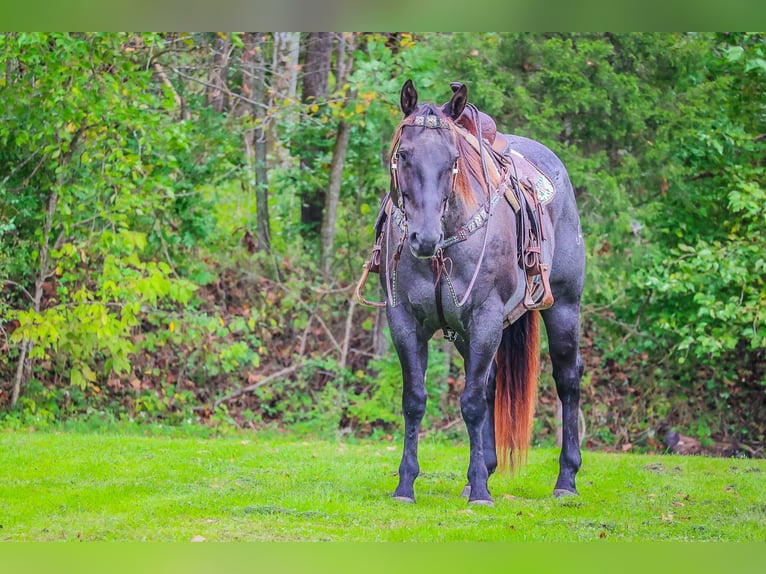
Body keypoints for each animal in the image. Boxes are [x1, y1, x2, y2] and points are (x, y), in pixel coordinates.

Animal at [357, 79, 585, 506]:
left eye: (452, 159)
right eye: (403, 154)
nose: (424, 237)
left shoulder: (485, 319)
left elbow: (473, 403)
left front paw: (480, 489)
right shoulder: (405, 322)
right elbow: (415, 401)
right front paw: (406, 484)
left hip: (563, 307)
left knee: (567, 379)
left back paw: (566, 480)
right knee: (491, 382)